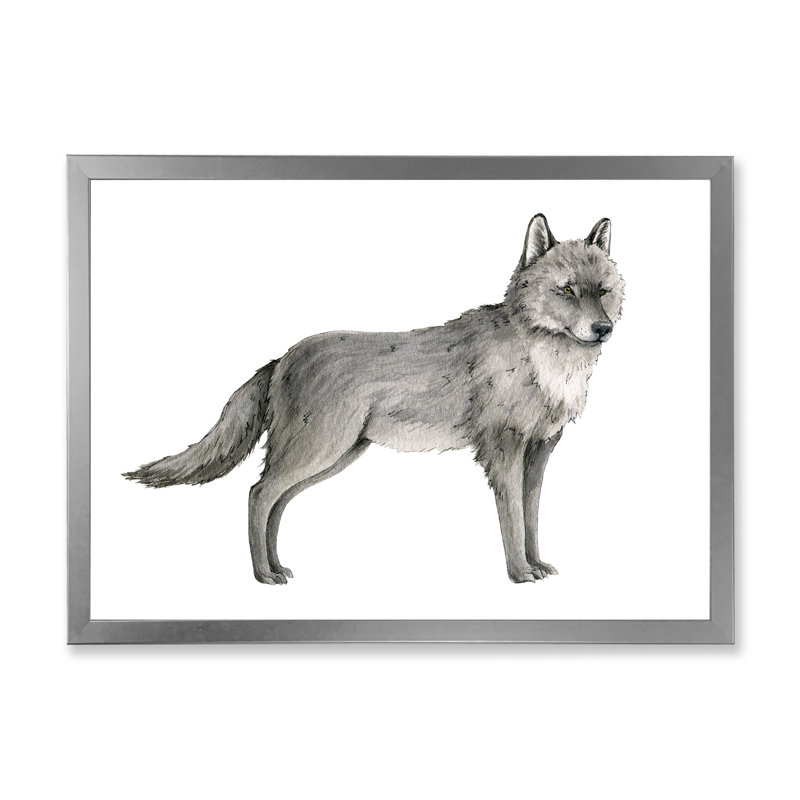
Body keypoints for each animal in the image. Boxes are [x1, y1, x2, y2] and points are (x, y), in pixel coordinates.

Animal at [125, 214, 624, 584]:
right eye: (566, 290)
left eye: (602, 291)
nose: (603, 329)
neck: (544, 364)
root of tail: (283, 357)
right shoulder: (503, 450)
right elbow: (514, 522)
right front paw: (519, 574)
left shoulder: (539, 451)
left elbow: (532, 516)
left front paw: (537, 565)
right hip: (318, 452)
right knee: (256, 494)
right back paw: (262, 575)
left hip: (332, 458)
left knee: (274, 502)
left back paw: (276, 567)